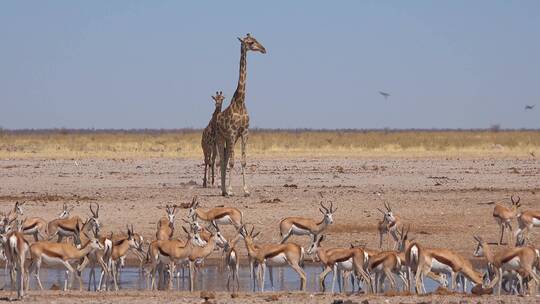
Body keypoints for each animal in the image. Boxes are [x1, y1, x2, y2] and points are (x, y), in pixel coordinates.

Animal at [215, 33, 266, 197]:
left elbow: (243, 161)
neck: (240, 101)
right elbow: (232, 162)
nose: (264, 49)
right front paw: (231, 190)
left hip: (230, 139)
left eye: (256, 40)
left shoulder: (244, 132)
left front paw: (246, 190)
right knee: (222, 160)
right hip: (220, 137)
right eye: (250, 42)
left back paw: (224, 190)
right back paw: (224, 190)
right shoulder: (232, 133)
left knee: (225, 159)